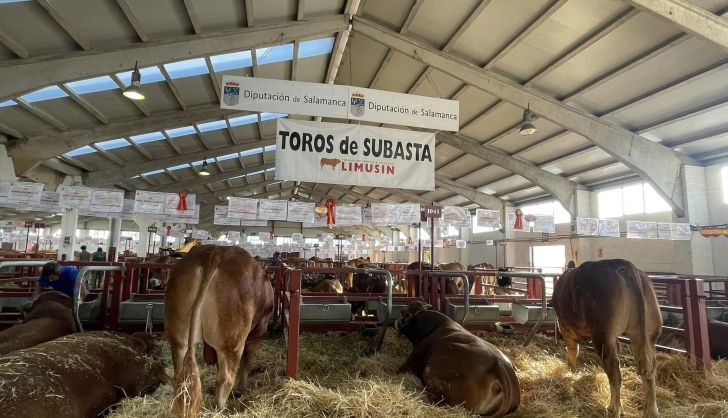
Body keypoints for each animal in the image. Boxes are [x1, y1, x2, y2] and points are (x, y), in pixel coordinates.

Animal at [166, 245, 274, 418]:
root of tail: (215, 253)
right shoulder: (259, 331)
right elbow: (248, 361)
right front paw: (242, 389)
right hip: (232, 342)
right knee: (225, 379)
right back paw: (222, 409)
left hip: (178, 338)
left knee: (179, 376)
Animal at [556, 260, 664, 416]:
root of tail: (622, 264)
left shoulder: (564, 327)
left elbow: (572, 351)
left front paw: (571, 372)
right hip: (647, 333)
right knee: (649, 367)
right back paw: (651, 412)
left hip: (603, 334)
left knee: (613, 369)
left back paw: (613, 408)